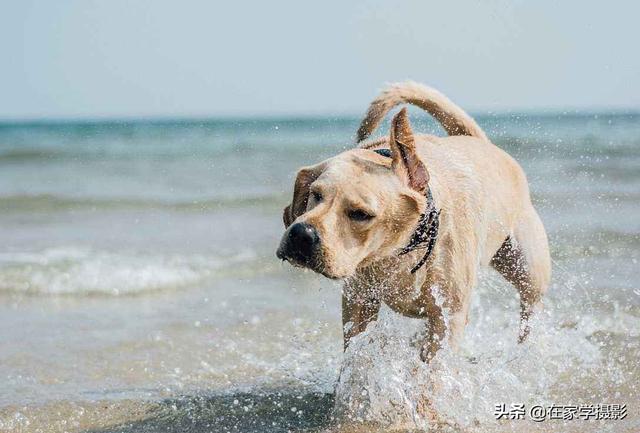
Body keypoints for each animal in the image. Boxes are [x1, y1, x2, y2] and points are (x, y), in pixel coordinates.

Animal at [276, 82, 552, 362]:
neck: (399, 250)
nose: (301, 234)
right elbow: (357, 353)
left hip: (526, 267)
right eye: (316, 195)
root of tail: (481, 142)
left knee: (530, 305)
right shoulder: (358, 302)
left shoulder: (447, 315)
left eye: (360, 214)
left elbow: (434, 365)